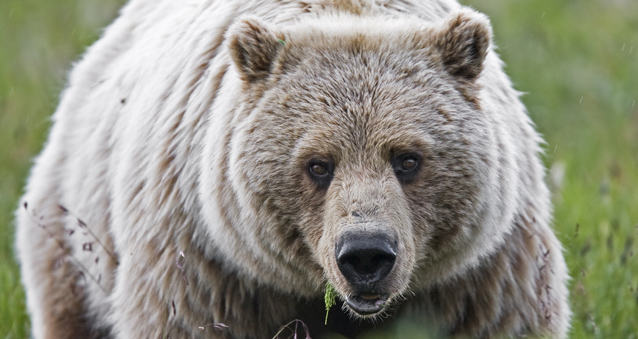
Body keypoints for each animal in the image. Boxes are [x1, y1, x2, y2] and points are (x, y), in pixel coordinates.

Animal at [16, 0, 568, 338]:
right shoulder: (208, 269)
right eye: (318, 165)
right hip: (73, 232)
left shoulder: (479, 276)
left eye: (408, 158)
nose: (366, 254)